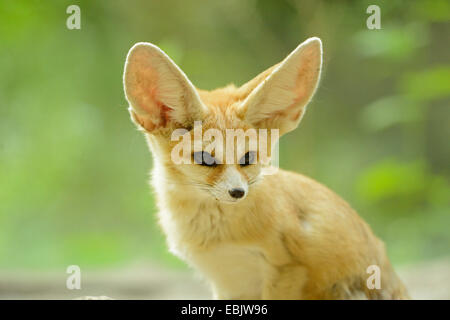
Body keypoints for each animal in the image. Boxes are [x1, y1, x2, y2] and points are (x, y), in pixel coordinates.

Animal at [122, 37, 408, 300]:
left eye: (248, 157)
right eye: (205, 158)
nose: (238, 192)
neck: (215, 233)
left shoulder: (286, 267)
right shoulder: (228, 286)